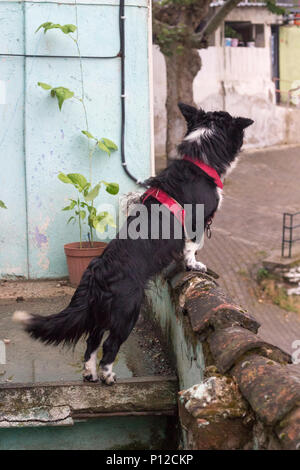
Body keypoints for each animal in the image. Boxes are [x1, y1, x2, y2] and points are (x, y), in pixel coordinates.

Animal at [13, 104, 253, 384]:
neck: (200, 158)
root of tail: (96, 272)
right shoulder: (197, 223)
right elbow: (192, 248)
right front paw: (195, 266)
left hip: (100, 315)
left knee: (91, 343)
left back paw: (90, 374)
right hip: (127, 312)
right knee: (109, 346)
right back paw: (108, 377)